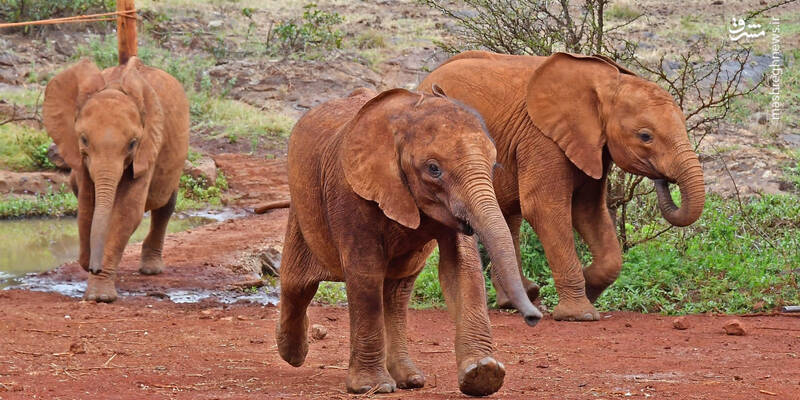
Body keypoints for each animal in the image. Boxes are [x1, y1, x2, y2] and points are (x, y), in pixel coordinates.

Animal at [43, 57, 189, 302]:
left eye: (132, 143)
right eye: (84, 139)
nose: (94, 267)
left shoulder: (147, 148)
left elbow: (126, 211)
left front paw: (100, 297)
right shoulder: (80, 157)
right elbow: (86, 207)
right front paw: (89, 266)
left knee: (166, 203)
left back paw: (151, 270)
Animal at [275, 86, 541, 396]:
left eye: (493, 164)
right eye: (433, 168)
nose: (534, 318)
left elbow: (461, 268)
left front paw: (483, 374)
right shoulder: (351, 191)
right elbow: (365, 272)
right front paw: (372, 387)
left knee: (396, 292)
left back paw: (410, 380)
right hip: (301, 210)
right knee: (297, 284)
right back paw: (293, 354)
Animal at [419, 51, 705, 321]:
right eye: (645, 136)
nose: (661, 178)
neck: (606, 84)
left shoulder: (592, 146)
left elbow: (588, 211)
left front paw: (589, 287)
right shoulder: (541, 139)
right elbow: (543, 208)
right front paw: (580, 315)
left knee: (507, 214)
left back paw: (519, 299)